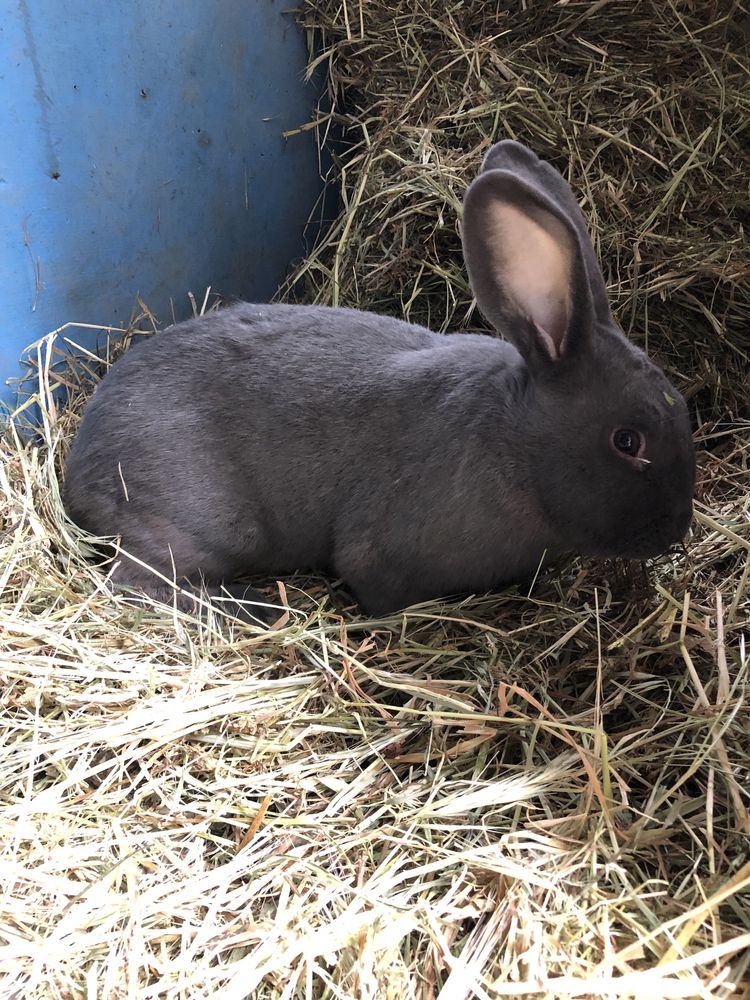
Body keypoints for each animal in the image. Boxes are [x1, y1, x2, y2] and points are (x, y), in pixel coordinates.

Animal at [64, 142, 700, 620]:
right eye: (627, 442)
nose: (677, 531)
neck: (516, 444)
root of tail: (79, 466)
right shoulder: (382, 563)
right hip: (200, 527)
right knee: (140, 581)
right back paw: (257, 609)